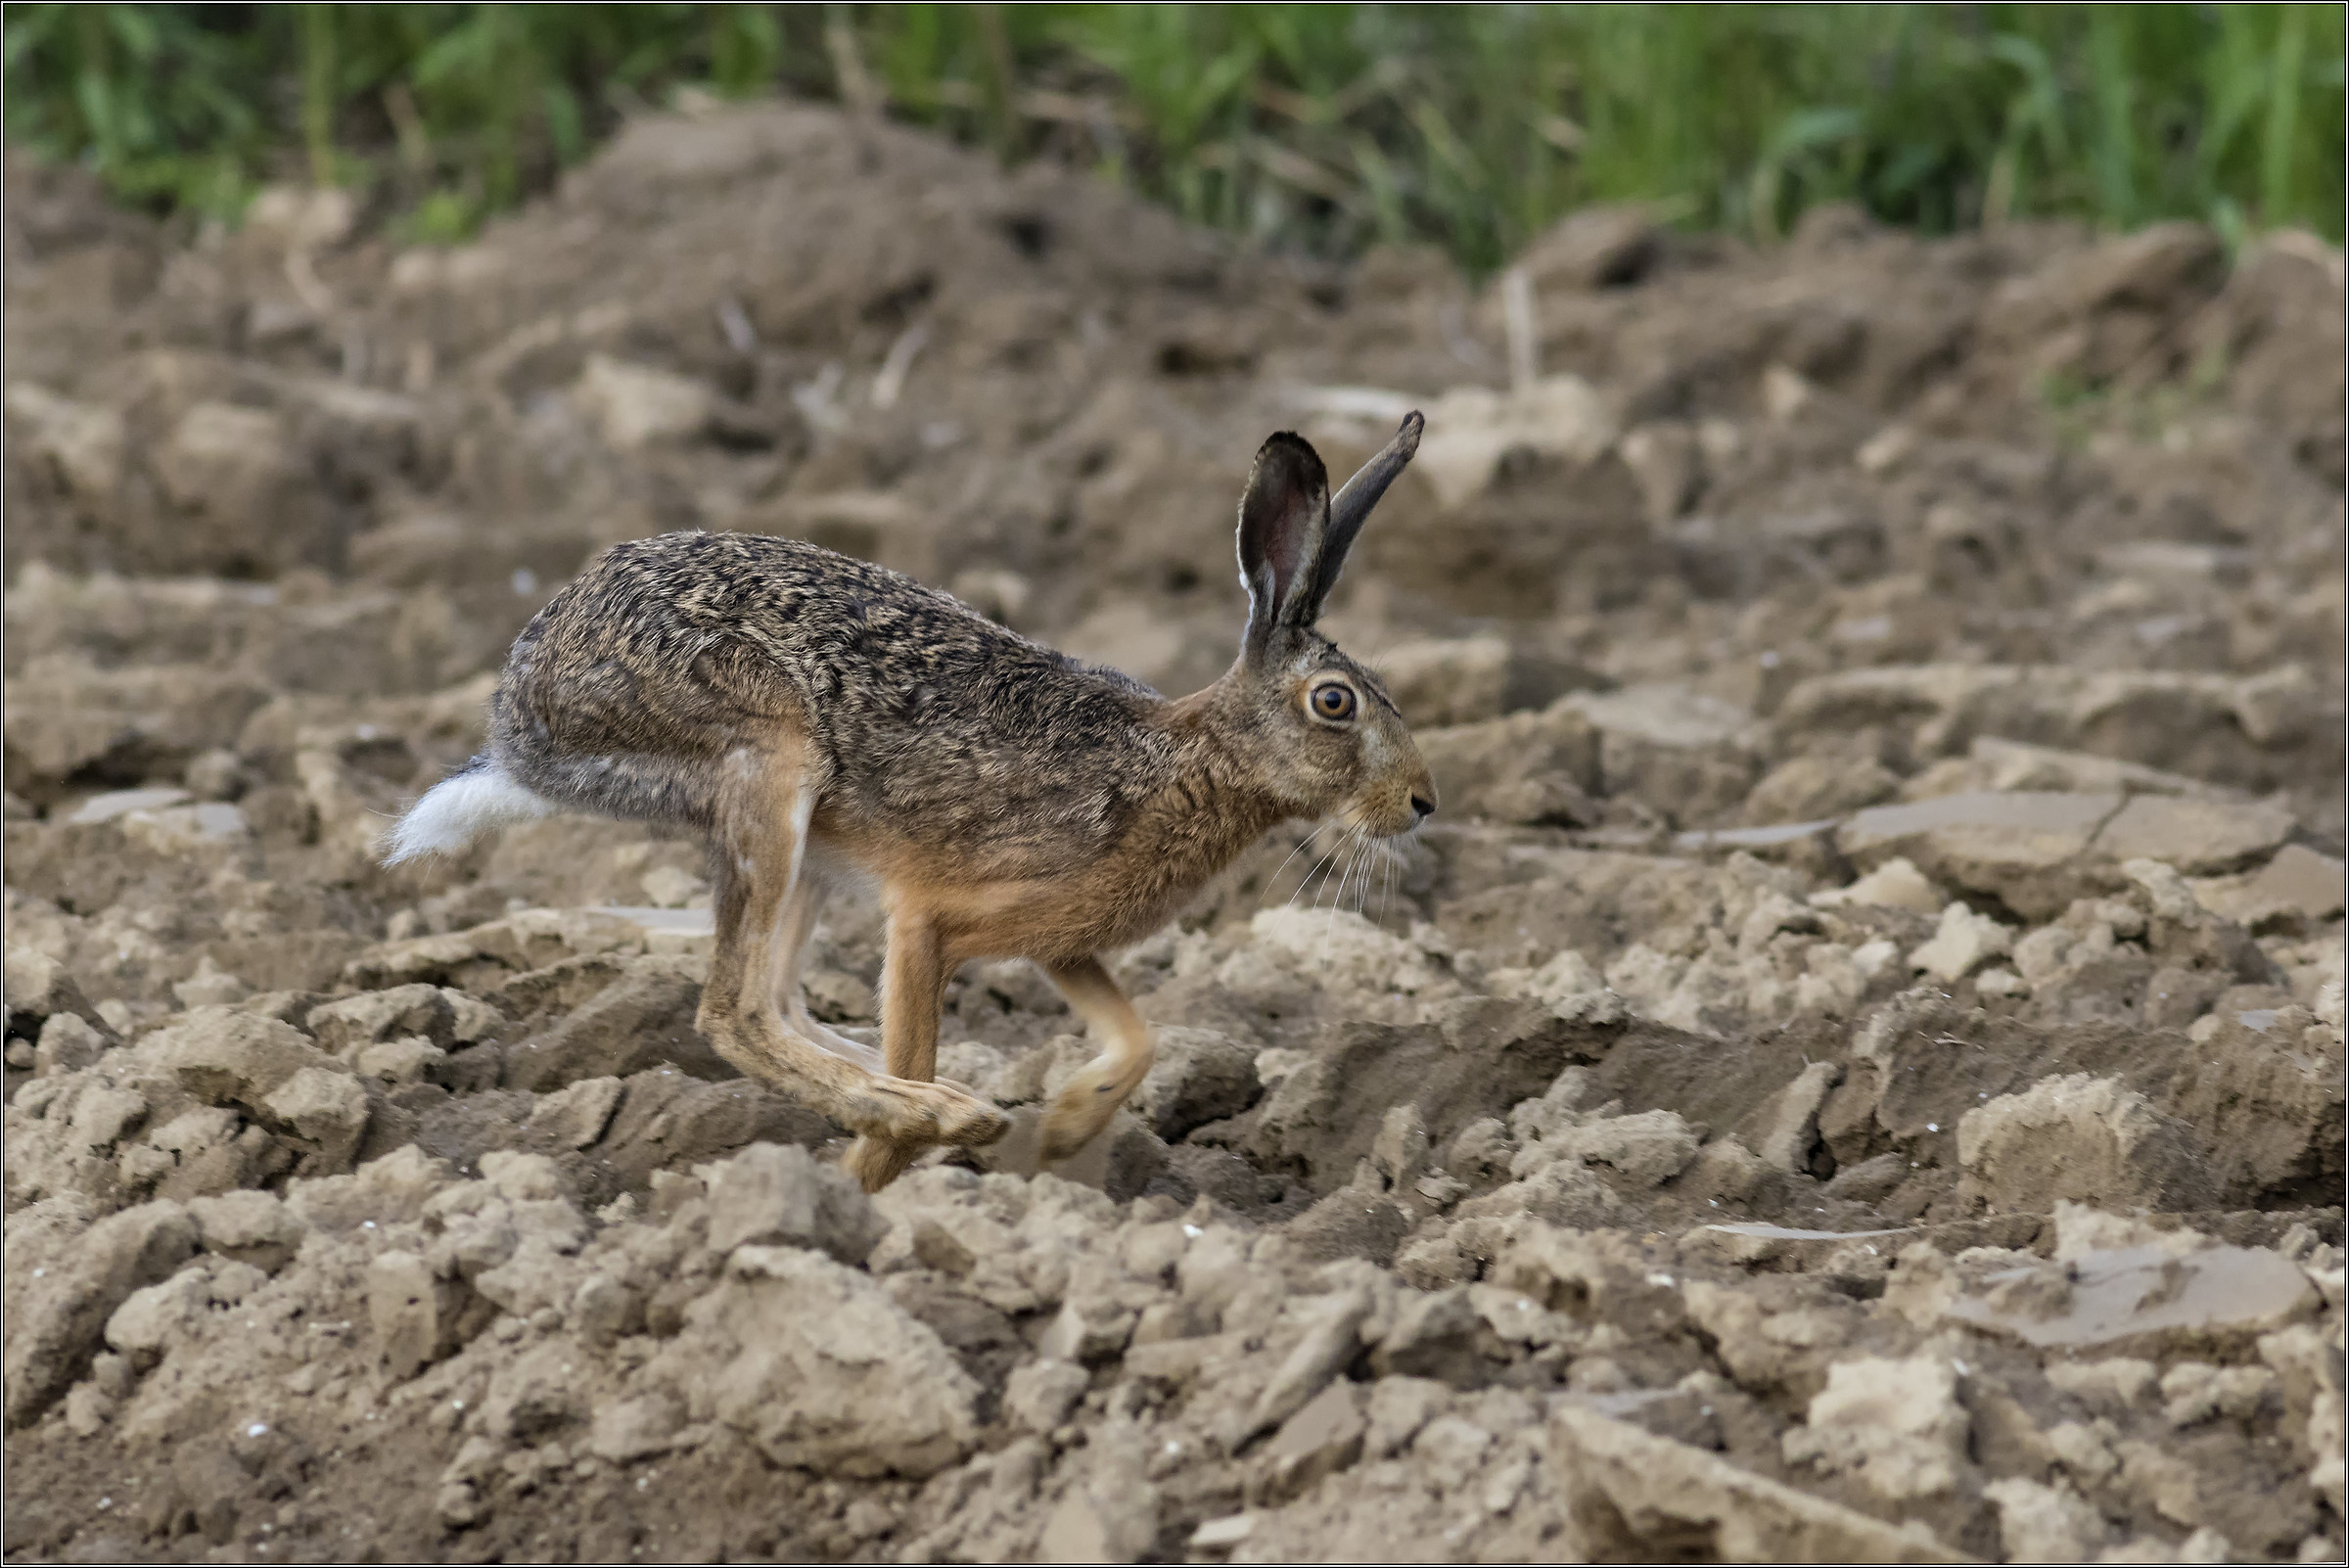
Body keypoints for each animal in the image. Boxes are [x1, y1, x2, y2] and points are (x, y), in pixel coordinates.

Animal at [383, 412, 1435, 1191]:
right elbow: (920, 1020)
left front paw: (1064, 1134)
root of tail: (525, 708)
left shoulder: (1060, 942)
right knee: (735, 1014)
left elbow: (1137, 1038)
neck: (1190, 760)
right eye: (1334, 704)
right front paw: (868, 1192)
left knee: (780, 997)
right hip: (769, 768)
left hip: (802, 844)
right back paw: (936, 1112)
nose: (1422, 802)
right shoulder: (935, 923)